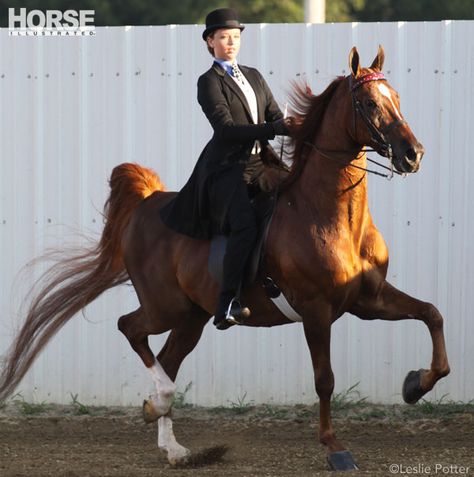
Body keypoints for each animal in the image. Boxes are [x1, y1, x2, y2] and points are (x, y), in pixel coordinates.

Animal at [0, 46, 450, 470]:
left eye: (396, 97)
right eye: (370, 103)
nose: (414, 154)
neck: (329, 215)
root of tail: (147, 203)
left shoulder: (367, 300)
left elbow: (432, 314)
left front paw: (416, 384)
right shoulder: (317, 310)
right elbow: (325, 379)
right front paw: (334, 448)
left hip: (192, 317)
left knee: (167, 359)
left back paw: (173, 444)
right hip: (165, 307)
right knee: (130, 328)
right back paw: (157, 404)